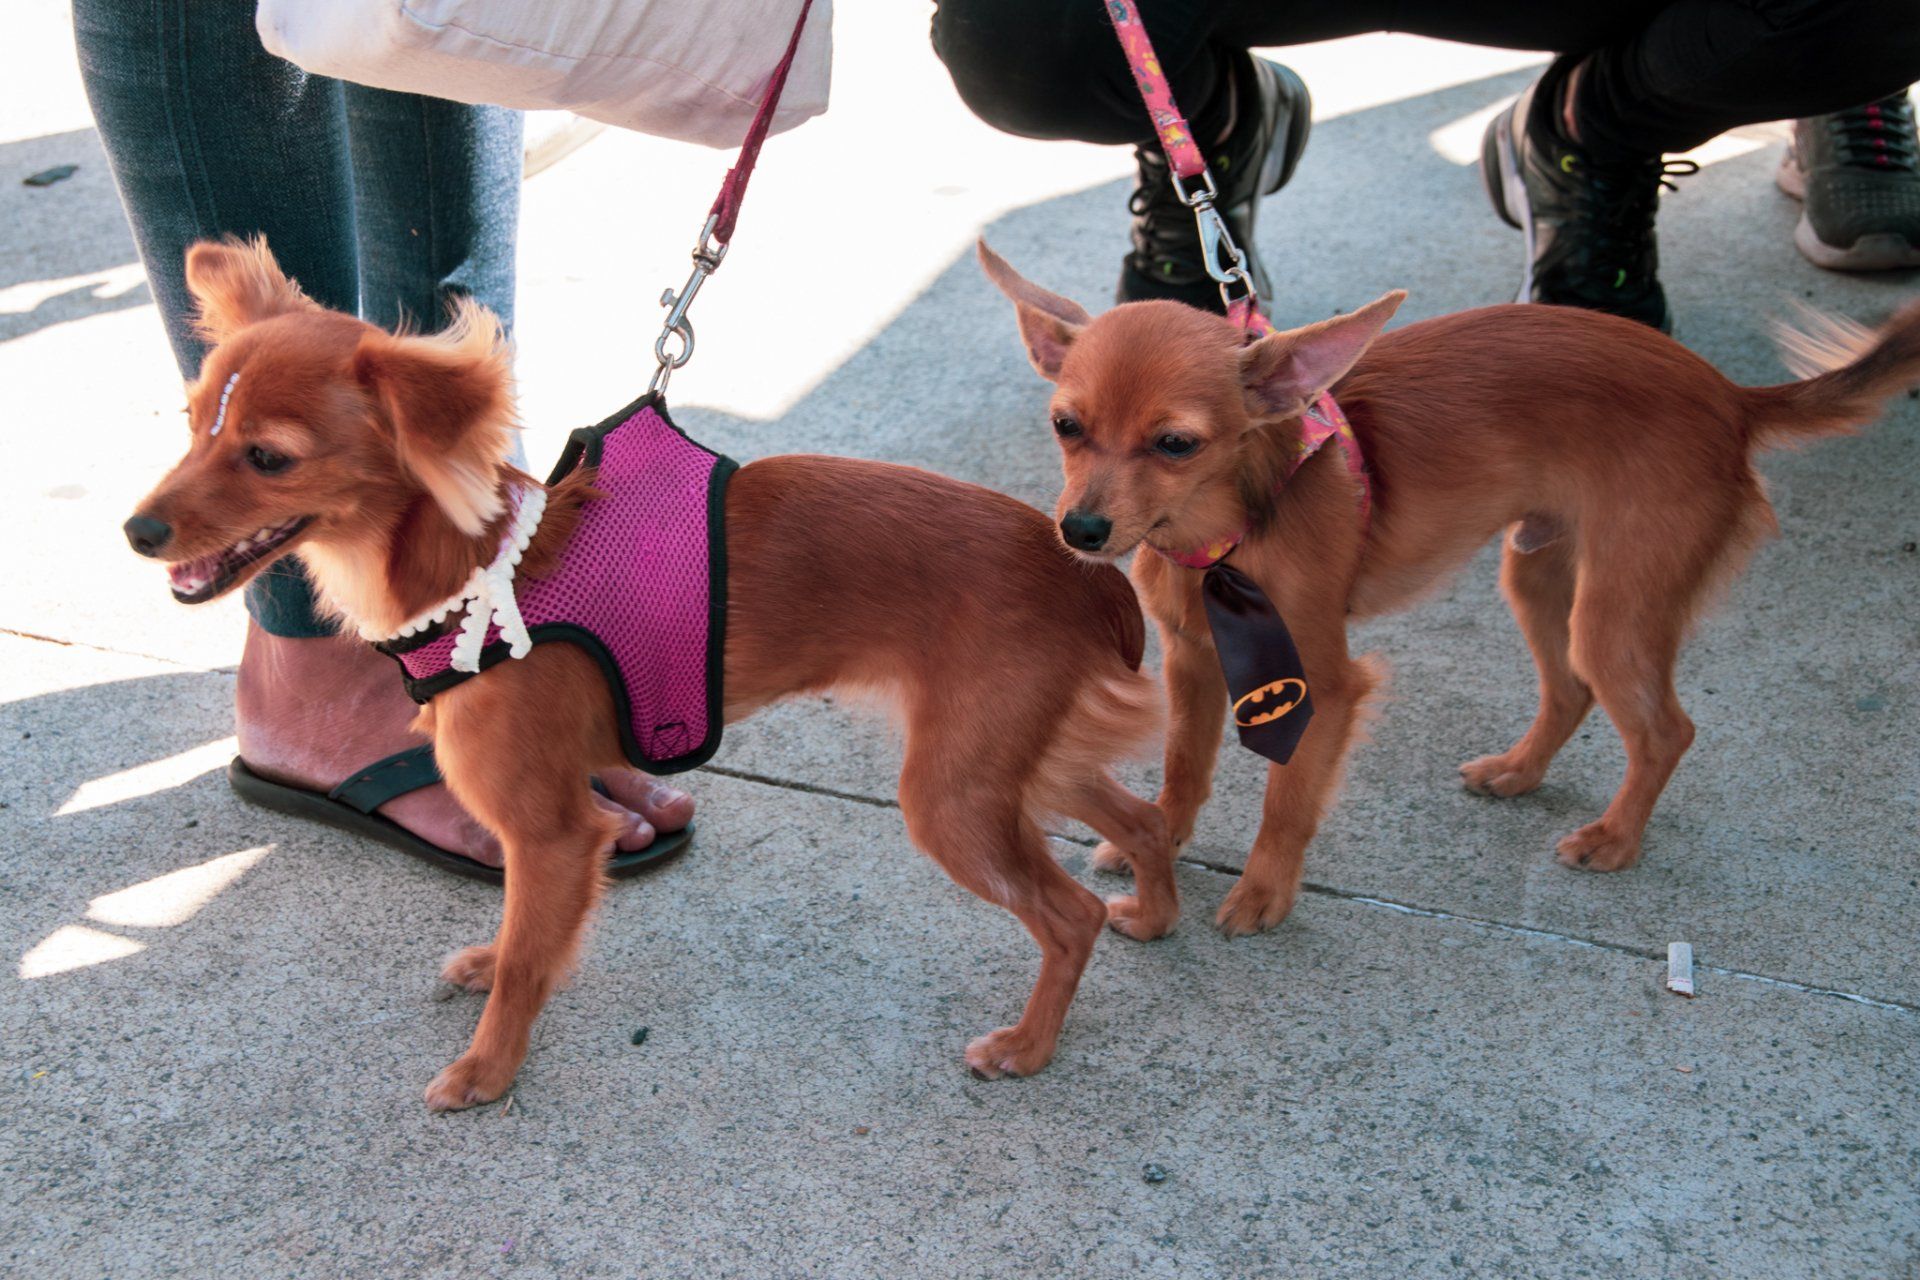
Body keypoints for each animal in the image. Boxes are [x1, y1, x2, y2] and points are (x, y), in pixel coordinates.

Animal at [125, 239, 1175, 1109]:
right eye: (190, 425)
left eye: (268, 456)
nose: (136, 530)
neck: (486, 579)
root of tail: (1077, 565)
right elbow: (520, 931)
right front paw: (494, 970)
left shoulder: (555, 831)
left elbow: (529, 962)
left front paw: (488, 1069)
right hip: (1014, 760)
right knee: (1146, 819)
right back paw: (1157, 917)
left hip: (955, 791)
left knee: (1070, 914)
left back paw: (1030, 1047)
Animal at [981, 239, 1920, 936]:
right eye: (1066, 426)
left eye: (1176, 444)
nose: (1081, 530)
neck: (1229, 529)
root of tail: (1731, 396)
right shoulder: (1193, 660)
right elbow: (1185, 762)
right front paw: (1163, 839)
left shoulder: (1324, 683)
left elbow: (1288, 798)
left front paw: (1263, 893)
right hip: (1538, 574)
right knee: (1571, 691)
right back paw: (1518, 773)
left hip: (1615, 611)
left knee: (1665, 730)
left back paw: (1615, 840)